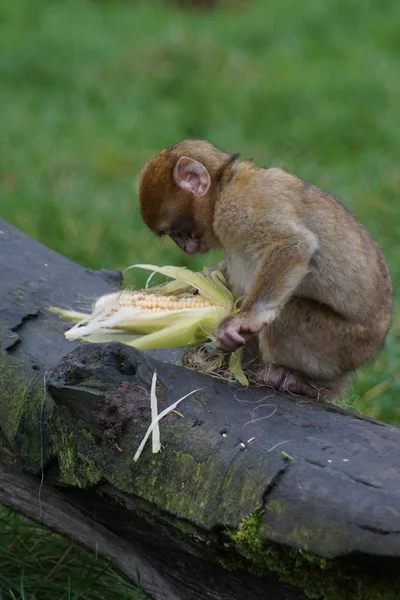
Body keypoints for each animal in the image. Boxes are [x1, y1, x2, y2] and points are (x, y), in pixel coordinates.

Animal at [139, 140, 392, 400]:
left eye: (178, 231)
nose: (185, 247)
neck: (224, 185)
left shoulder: (241, 207)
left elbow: (293, 244)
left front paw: (245, 320)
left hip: (345, 344)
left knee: (287, 314)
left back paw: (309, 383)